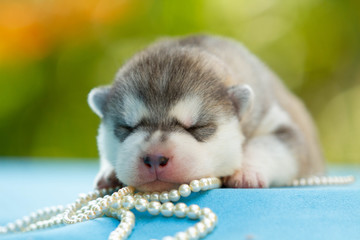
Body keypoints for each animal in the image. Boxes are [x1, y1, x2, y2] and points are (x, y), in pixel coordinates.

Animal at [88, 34, 326, 191]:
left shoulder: (281, 125)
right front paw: (109, 172)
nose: (155, 158)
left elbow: (271, 145)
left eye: (197, 127)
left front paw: (245, 171)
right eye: (126, 127)